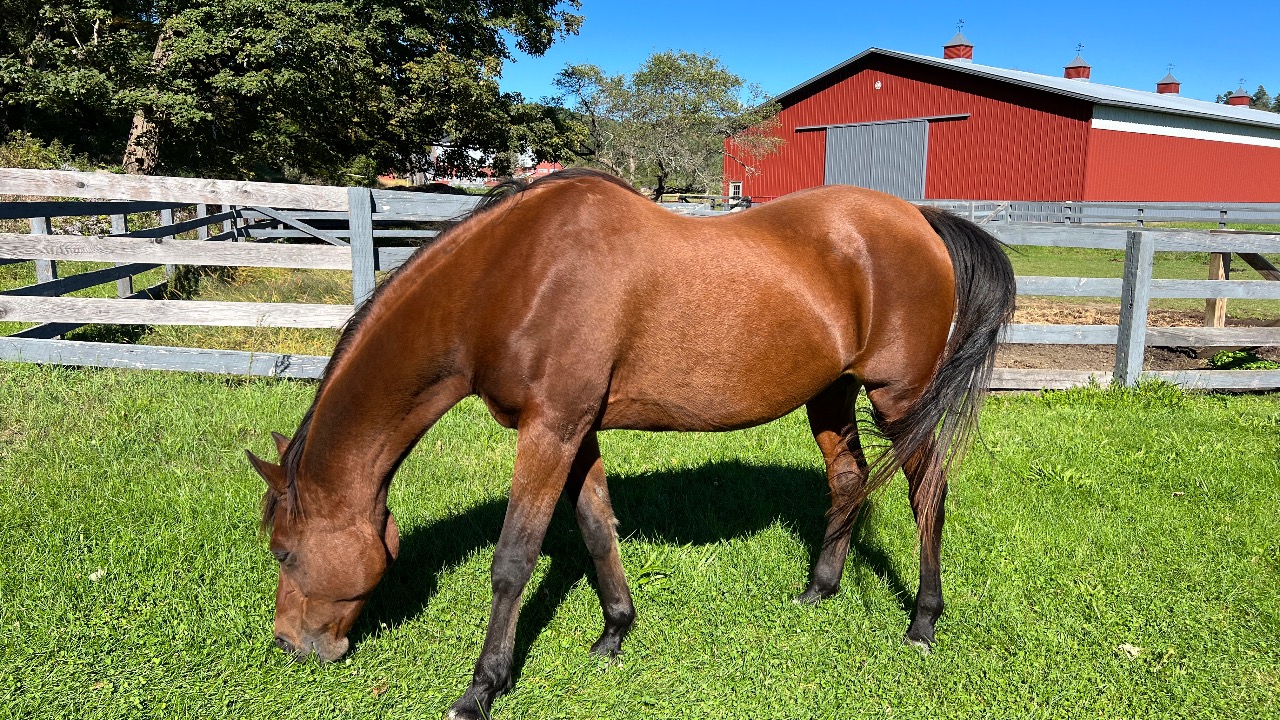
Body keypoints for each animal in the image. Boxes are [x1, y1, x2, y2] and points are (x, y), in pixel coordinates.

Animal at [244, 169, 1013, 717]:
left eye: (283, 551)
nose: (291, 647)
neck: (511, 278)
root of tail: (919, 218)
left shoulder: (550, 429)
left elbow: (514, 559)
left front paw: (481, 689)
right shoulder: (576, 430)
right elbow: (595, 529)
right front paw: (614, 632)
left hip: (900, 400)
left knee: (927, 494)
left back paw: (923, 622)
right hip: (831, 394)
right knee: (849, 480)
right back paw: (818, 591)